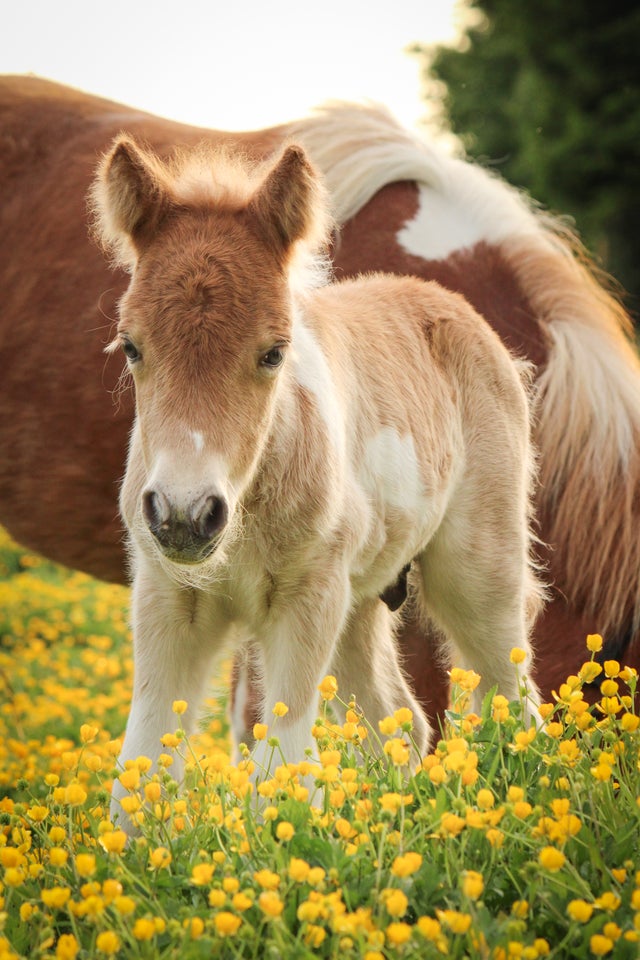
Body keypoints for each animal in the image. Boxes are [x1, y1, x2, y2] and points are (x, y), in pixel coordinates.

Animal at [90, 137, 540, 824]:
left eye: (274, 352)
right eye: (132, 346)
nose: (185, 516)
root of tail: (450, 305)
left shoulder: (307, 598)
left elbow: (281, 772)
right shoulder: (169, 598)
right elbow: (140, 774)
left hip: (474, 572)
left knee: (515, 700)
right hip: (360, 599)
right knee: (397, 722)